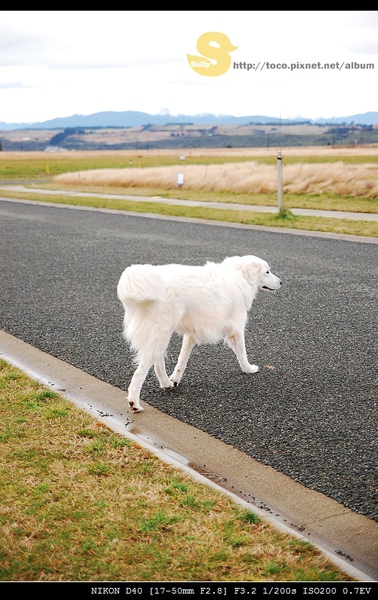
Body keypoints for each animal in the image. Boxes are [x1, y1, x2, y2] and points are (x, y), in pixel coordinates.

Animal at [116, 253, 282, 412]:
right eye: (267, 272)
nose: (281, 282)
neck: (240, 276)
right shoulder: (236, 330)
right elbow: (242, 354)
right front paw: (249, 369)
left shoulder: (191, 335)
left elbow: (182, 361)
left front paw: (175, 378)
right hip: (160, 334)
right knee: (139, 373)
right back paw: (134, 403)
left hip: (160, 336)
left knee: (158, 363)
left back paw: (167, 383)